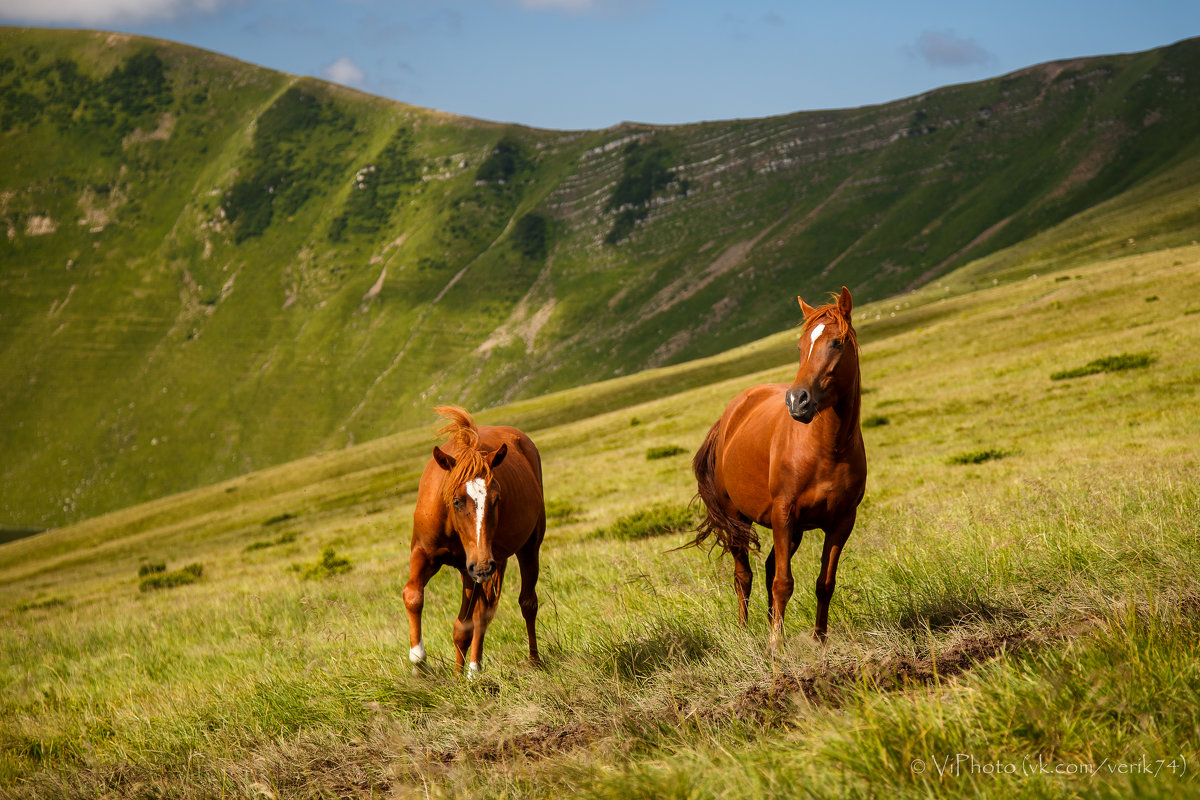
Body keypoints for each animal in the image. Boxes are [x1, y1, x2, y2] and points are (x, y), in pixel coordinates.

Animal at [408, 407, 549, 676]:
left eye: (497, 499)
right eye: (456, 501)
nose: (483, 566)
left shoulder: (476, 568)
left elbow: (469, 623)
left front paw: (469, 672)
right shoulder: (425, 554)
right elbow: (413, 595)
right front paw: (420, 661)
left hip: (524, 550)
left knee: (524, 604)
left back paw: (527, 662)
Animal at [691, 287, 868, 642]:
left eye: (836, 343)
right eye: (800, 346)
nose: (797, 400)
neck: (827, 450)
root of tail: (732, 412)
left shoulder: (841, 522)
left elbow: (824, 584)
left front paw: (819, 641)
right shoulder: (784, 514)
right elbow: (783, 583)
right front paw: (775, 645)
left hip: (793, 529)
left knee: (769, 568)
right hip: (738, 520)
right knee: (743, 576)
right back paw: (745, 633)